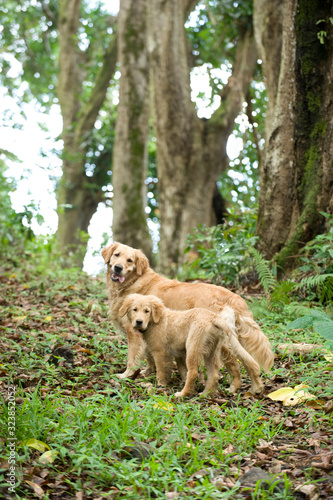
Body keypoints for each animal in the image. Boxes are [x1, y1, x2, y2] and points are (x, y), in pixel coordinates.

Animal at [119, 294, 262, 396]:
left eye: (147, 311)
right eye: (135, 310)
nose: (138, 322)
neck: (156, 321)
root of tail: (214, 318)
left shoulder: (161, 352)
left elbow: (162, 370)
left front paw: (161, 385)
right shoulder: (178, 353)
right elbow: (182, 370)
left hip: (193, 346)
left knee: (193, 372)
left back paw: (183, 394)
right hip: (212, 351)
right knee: (214, 374)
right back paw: (205, 394)